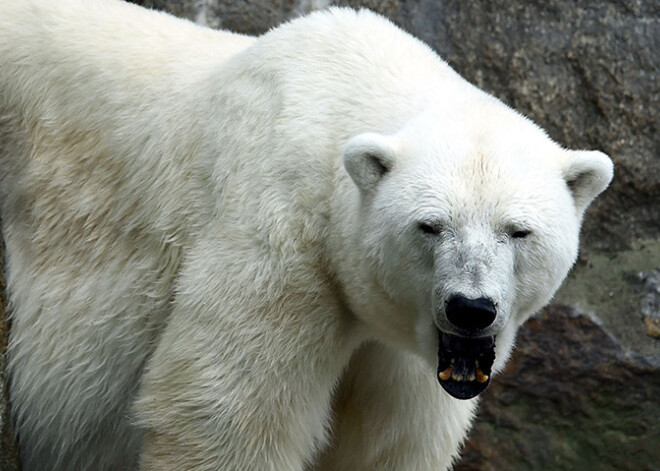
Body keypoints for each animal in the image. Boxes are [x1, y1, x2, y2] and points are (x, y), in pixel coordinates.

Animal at [0, 0, 612, 471]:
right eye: (430, 226)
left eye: (518, 231)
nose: (471, 308)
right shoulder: (279, 241)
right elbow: (224, 418)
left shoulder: (403, 352)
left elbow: (389, 444)